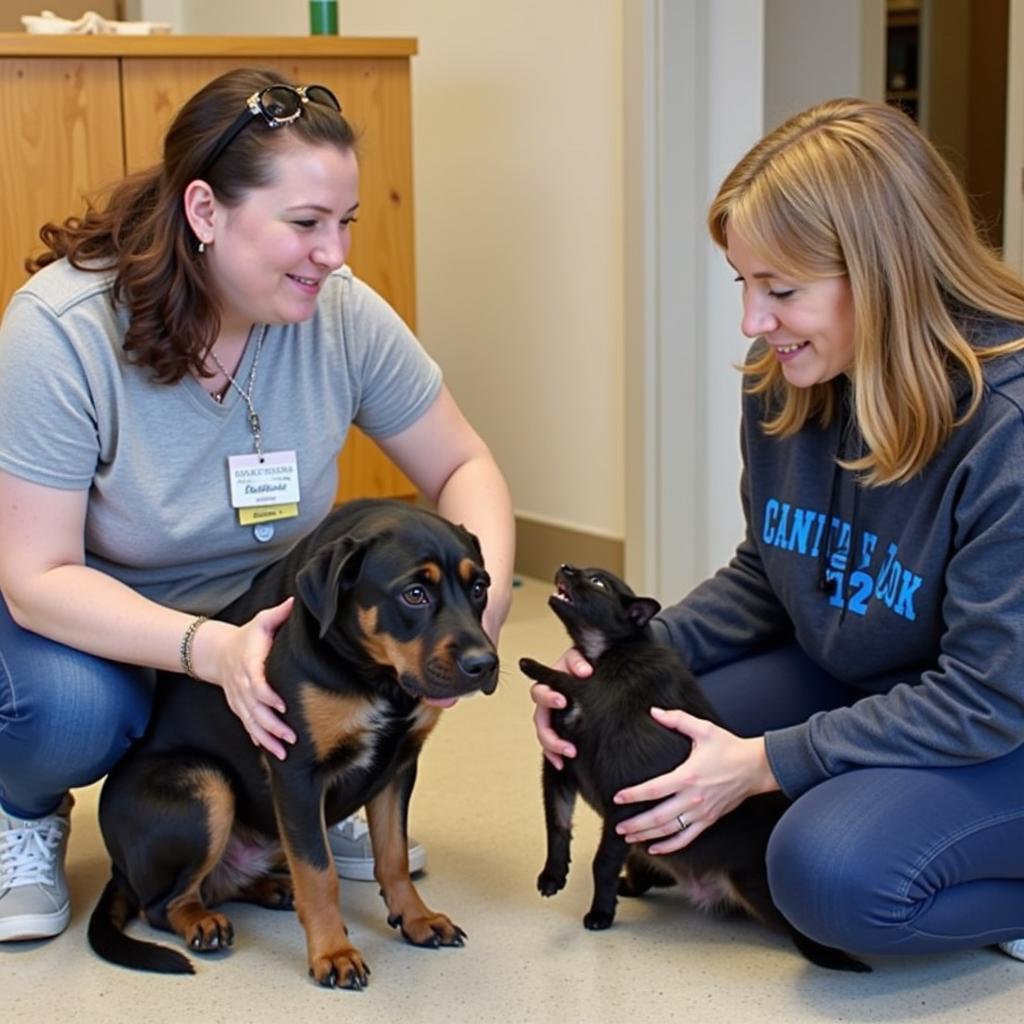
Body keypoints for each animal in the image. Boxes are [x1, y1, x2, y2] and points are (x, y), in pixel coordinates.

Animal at [90, 499, 497, 987]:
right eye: (414, 594)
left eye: (480, 588)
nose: (484, 664)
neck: (376, 679)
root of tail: (117, 868)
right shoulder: (296, 771)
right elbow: (319, 874)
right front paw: (334, 953)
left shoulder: (399, 766)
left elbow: (393, 856)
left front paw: (417, 918)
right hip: (207, 785)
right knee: (162, 904)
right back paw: (202, 923)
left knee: (221, 885)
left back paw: (274, 889)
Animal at [524, 565, 868, 970]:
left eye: (597, 583)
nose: (566, 566)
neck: (604, 660)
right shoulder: (559, 769)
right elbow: (557, 826)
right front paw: (553, 875)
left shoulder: (626, 802)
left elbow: (602, 863)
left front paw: (600, 914)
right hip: (643, 851)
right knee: (649, 879)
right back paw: (630, 887)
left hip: (752, 888)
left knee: (795, 925)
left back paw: (825, 953)